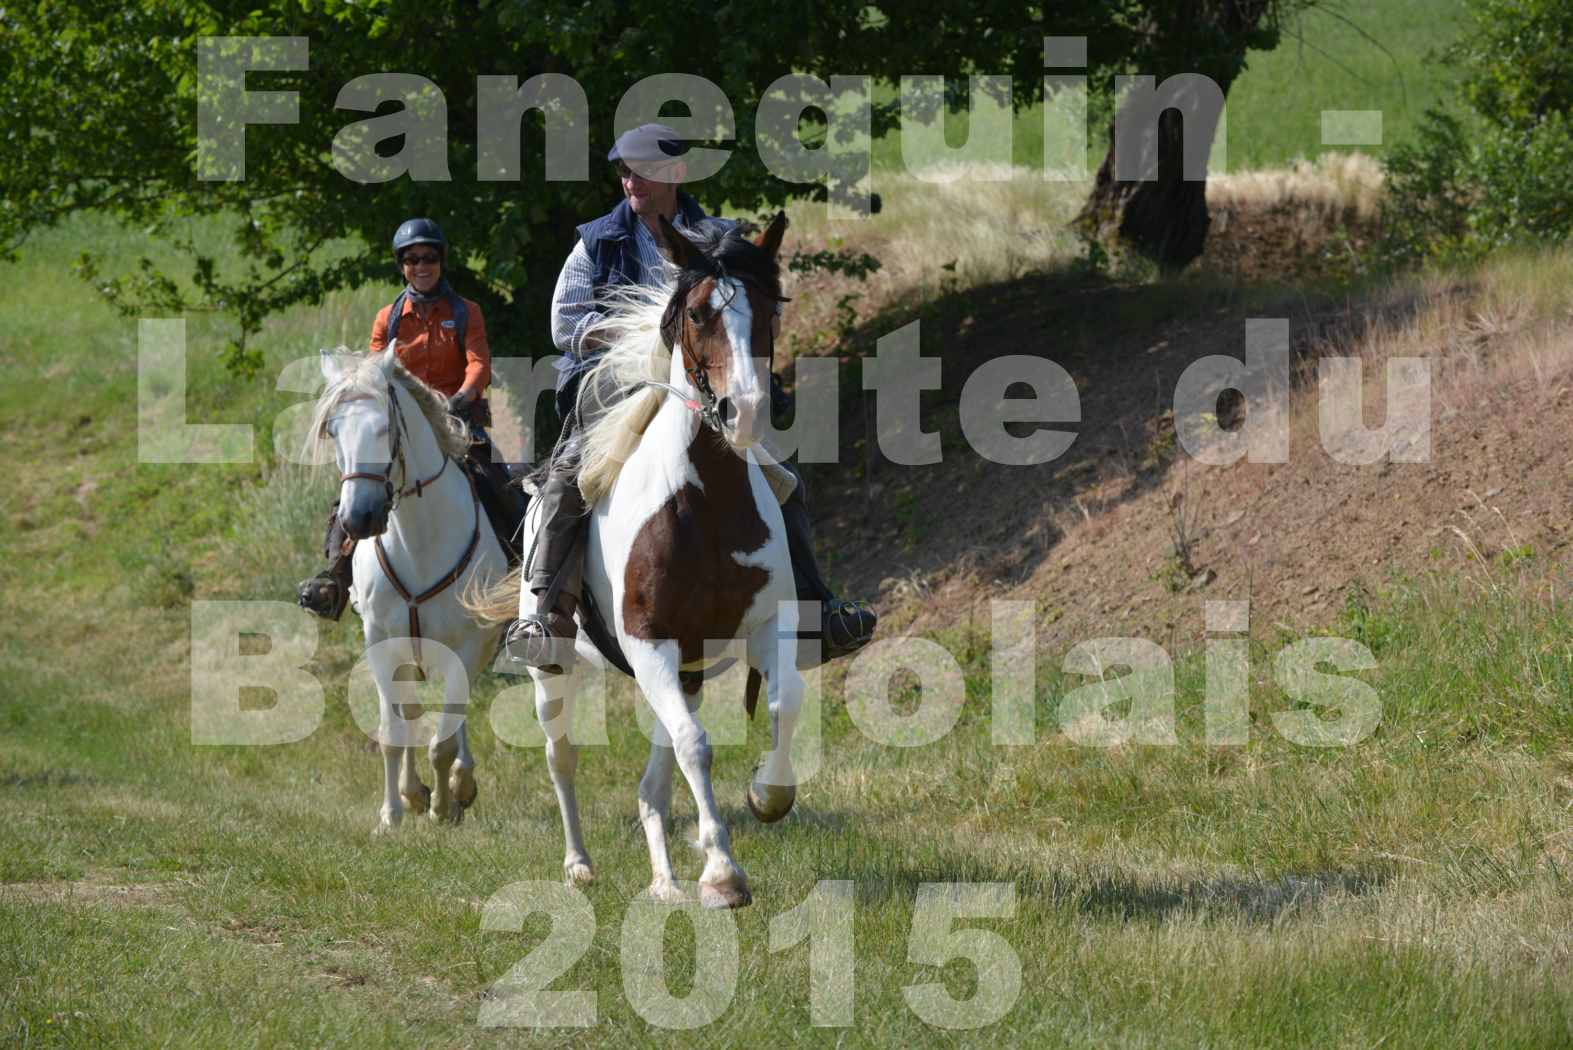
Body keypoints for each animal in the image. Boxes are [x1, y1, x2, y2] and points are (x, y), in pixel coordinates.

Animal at [316, 348, 512, 829]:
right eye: (333, 430)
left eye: (385, 428)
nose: (359, 519)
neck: (418, 540)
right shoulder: (381, 643)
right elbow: (393, 731)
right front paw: (393, 813)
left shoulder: (465, 646)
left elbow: (443, 740)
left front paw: (443, 805)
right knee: (412, 713)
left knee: (453, 717)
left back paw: (458, 788)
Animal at [475, 215, 799, 911]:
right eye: (699, 314)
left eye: (768, 311)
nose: (745, 412)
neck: (706, 506)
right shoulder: (650, 641)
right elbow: (695, 746)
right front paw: (724, 875)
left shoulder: (764, 627)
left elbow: (782, 707)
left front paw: (767, 795)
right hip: (554, 669)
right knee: (563, 758)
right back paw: (579, 865)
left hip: (686, 670)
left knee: (655, 780)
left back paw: (665, 881)